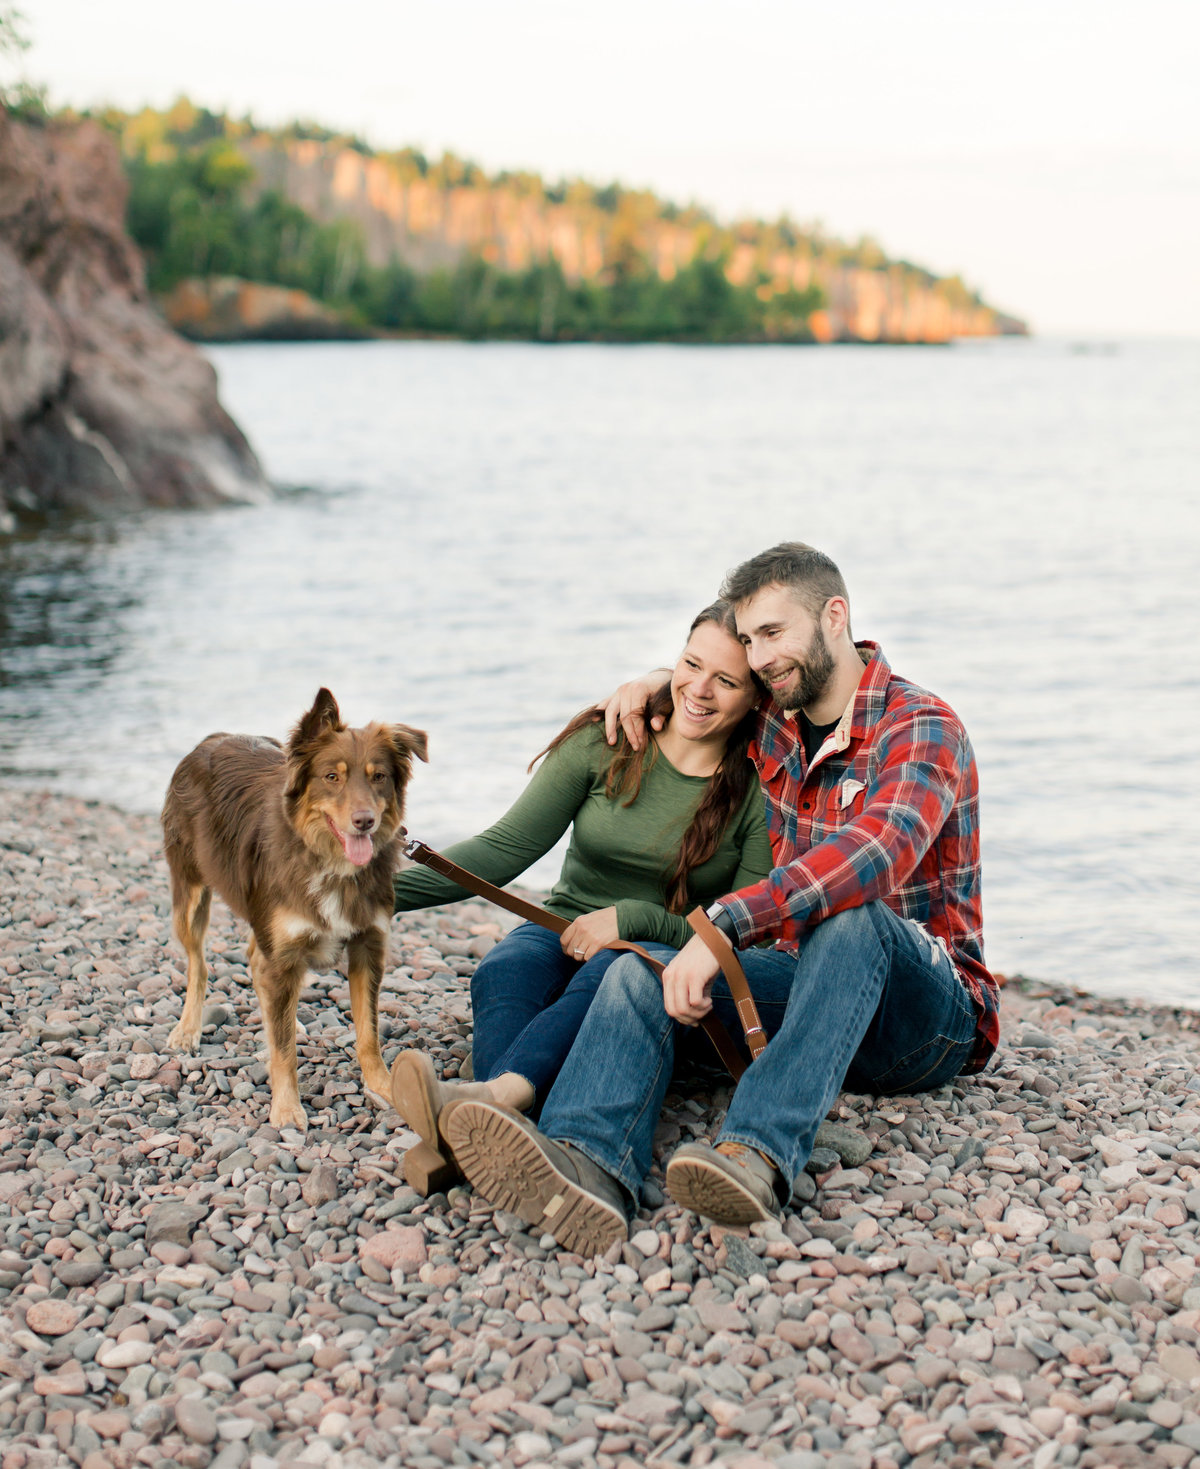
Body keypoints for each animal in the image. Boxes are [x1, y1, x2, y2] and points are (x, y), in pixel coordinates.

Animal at [161, 693, 428, 1128]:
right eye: (331, 777)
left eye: (379, 777)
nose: (365, 822)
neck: (328, 860)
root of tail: (213, 738)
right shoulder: (285, 952)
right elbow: (283, 1050)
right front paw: (286, 1108)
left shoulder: (367, 946)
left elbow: (368, 1032)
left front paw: (385, 1086)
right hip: (190, 893)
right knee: (199, 965)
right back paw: (188, 1029)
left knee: (254, 959)